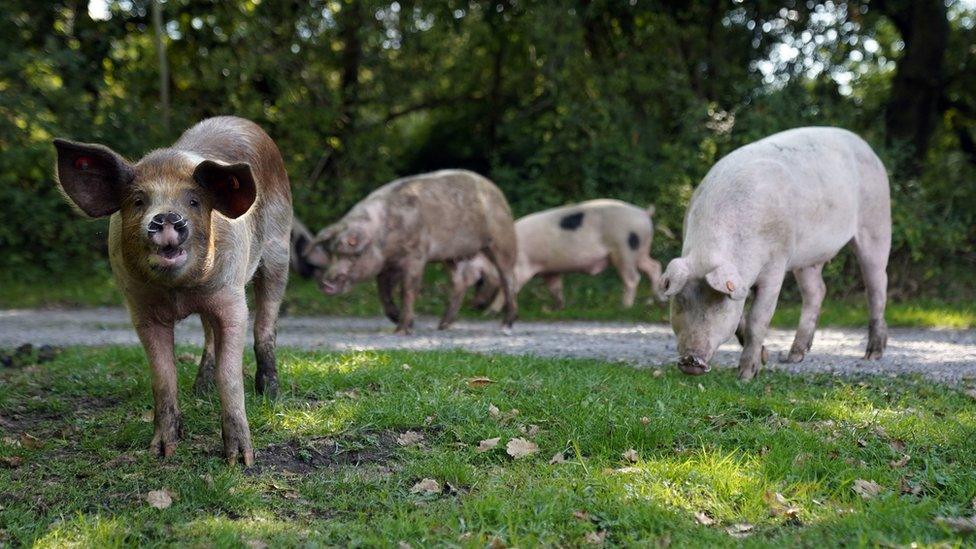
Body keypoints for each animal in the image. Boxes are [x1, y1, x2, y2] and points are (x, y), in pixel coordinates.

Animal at [54, 116, 290, 466]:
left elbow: (230, 375)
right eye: (138, 201)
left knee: (266, 326)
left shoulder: (231, 298)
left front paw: (240, 460)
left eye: (194, 201)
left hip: (279, 250)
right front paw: (162, 452)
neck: (178, 291)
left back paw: (270, 394)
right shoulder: (141, 308)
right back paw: (200, 391)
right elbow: (163, 377)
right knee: (208, 336)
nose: (166, 215)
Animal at [298, 169, 520, 332]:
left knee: (507, 277)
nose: (326, 283)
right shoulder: (387, 265)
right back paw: (442, 326)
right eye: (333, 253)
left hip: (502, 238)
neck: (383, 233)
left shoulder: (416, 254)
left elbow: (408, 288)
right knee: (460, 282)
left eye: (354, 254)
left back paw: (505, 325)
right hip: (452, 256)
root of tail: (496, 190)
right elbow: (384, 293)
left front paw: (402, 330)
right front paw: (401, 321)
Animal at [464, 199, 664, 310]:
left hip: (625, 250)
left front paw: (491, 311)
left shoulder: (521, 268)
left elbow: (510, 289)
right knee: (654, 266)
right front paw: (557, 308)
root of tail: (644, 213)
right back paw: (657, 300)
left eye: (480, 280)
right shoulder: (549, 270)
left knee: (632, 278)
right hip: (640, 251)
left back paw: (624, 307)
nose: (474, 305)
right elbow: (556, 288)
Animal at [660, 126, 888, 378]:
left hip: (876, 221)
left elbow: (757, 319)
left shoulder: (776, 263)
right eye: (680, 301)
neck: (708, 253)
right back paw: (794, 356)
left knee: (877, 284)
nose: (691, 360)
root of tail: (865, 145)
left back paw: (872, 354)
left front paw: (746, 374)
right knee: (817, 291)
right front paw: (765, 358)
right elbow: (741, 318)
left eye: (718, 304)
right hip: (806, 258)